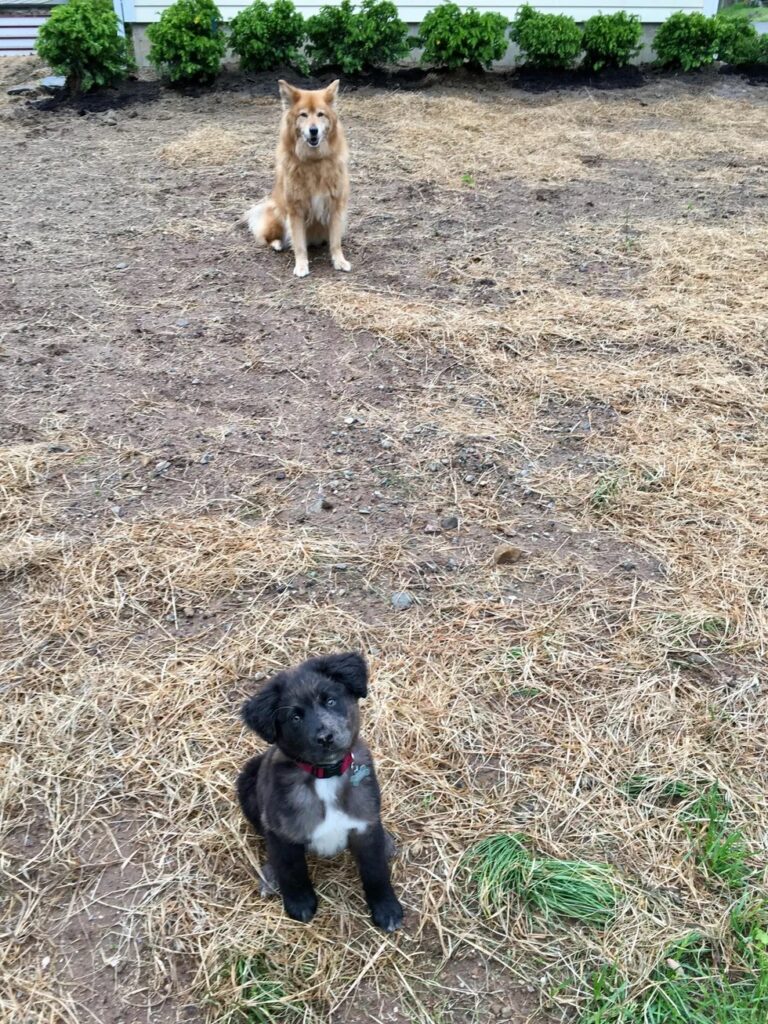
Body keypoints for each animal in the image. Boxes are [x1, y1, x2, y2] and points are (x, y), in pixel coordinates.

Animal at [236, 651, 405, 933]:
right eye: (295, 717)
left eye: (331, 700)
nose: (326, 737)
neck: (325, 775)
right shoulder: (282, 830)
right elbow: (291, 869)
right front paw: (299, 902)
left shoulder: (365, 825)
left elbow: (375, 871)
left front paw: (386, 908)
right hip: (248, 780)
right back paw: (270, 874)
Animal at [243, 79, 352, 278]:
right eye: (303, 115)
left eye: (320, 114)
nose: (313, 130)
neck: (314, 161)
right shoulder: (295, 210)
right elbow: (299, 244)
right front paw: (301, 266)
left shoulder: (335, 207)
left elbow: (335, 242)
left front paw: (339, 261)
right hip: (277, 215)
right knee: (269, 237)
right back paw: (278, 244)